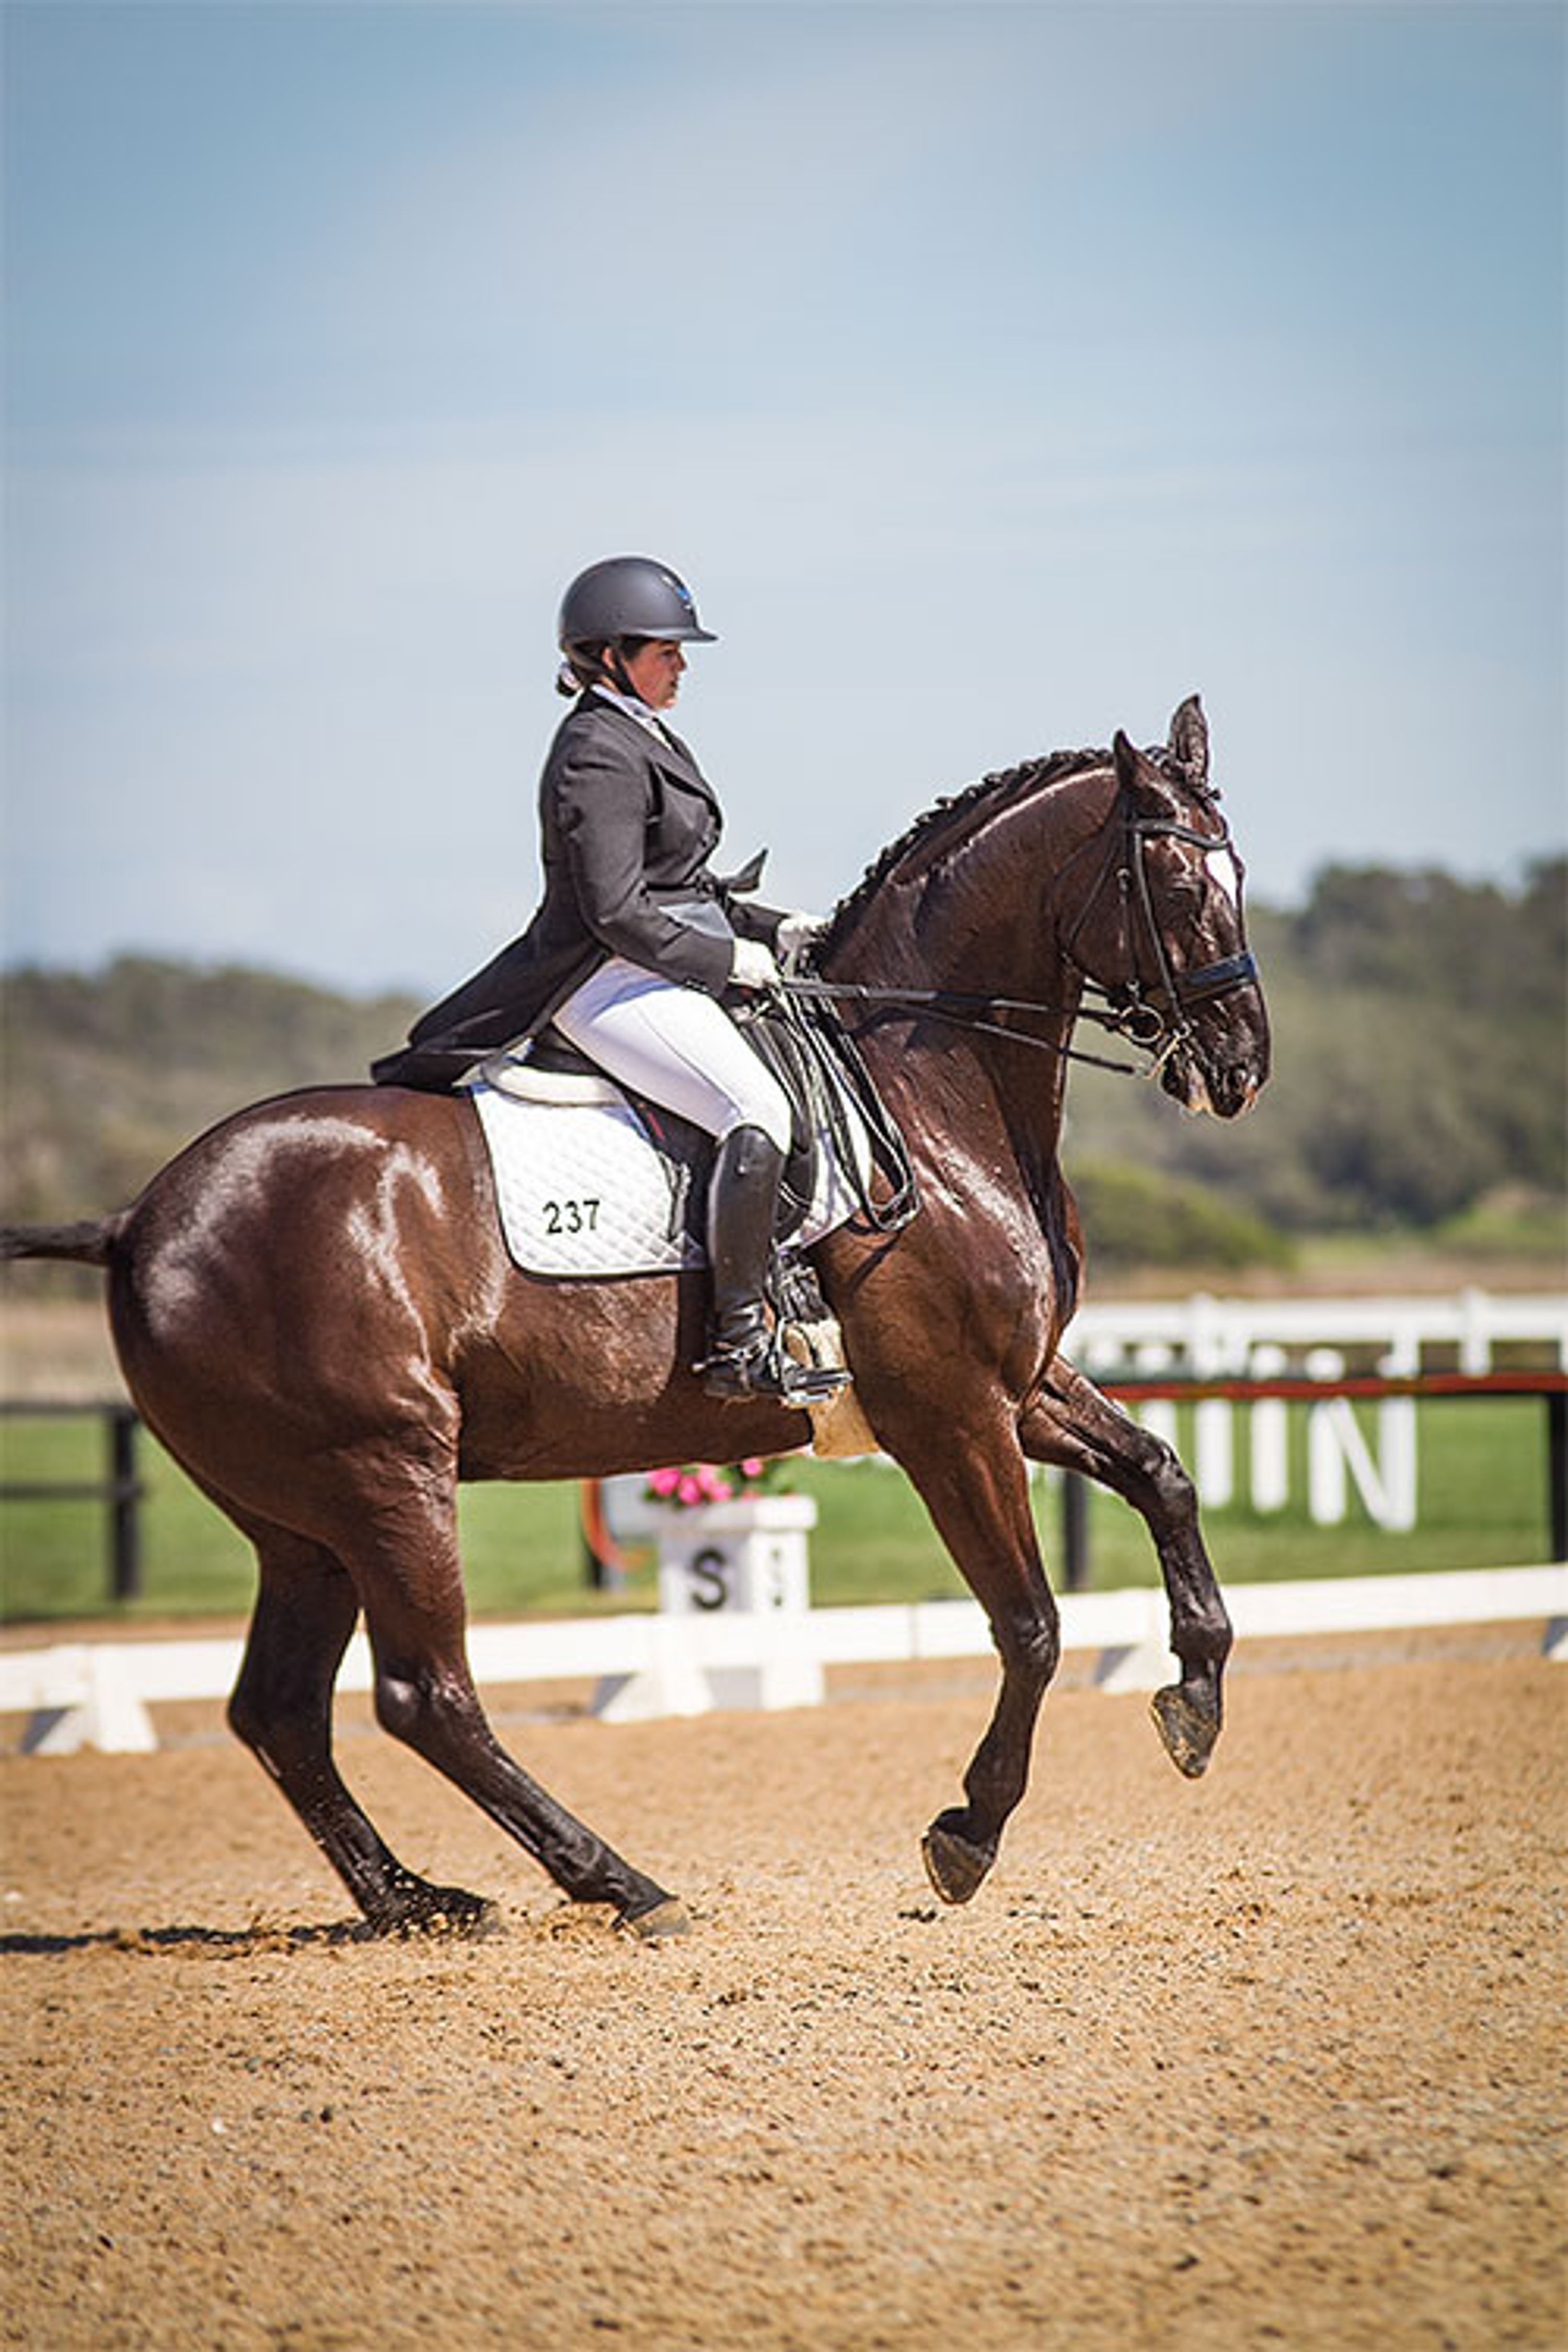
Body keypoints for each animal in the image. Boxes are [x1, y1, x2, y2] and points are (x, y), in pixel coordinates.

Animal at [2, 696, 1269, 1940]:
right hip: (385, 1477)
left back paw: (418, 1901)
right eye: (1171, 881)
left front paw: (1195, 1702)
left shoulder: (1022, 1385)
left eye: (1239, 868)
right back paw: (619, 1884)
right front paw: (968, 1834)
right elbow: (1031, 1624)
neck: (930, 1093)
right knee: (424, 1696)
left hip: (298, 1522)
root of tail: (141, 1217)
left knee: (280, 1709)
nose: (1242, 1067)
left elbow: (1162, 1477)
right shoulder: (949, 1414)